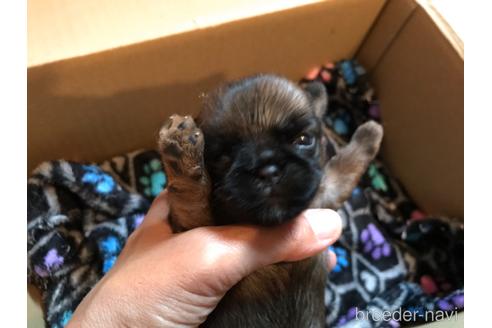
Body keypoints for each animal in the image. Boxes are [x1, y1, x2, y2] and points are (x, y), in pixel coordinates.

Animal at [160, 75, 382, 328]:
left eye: (303, 139)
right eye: (223, 158)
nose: (268, 170)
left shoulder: (325, 194)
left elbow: (346, 166)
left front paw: (369, 134)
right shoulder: (193, 226)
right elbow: (191, 200)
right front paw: (182, 152)